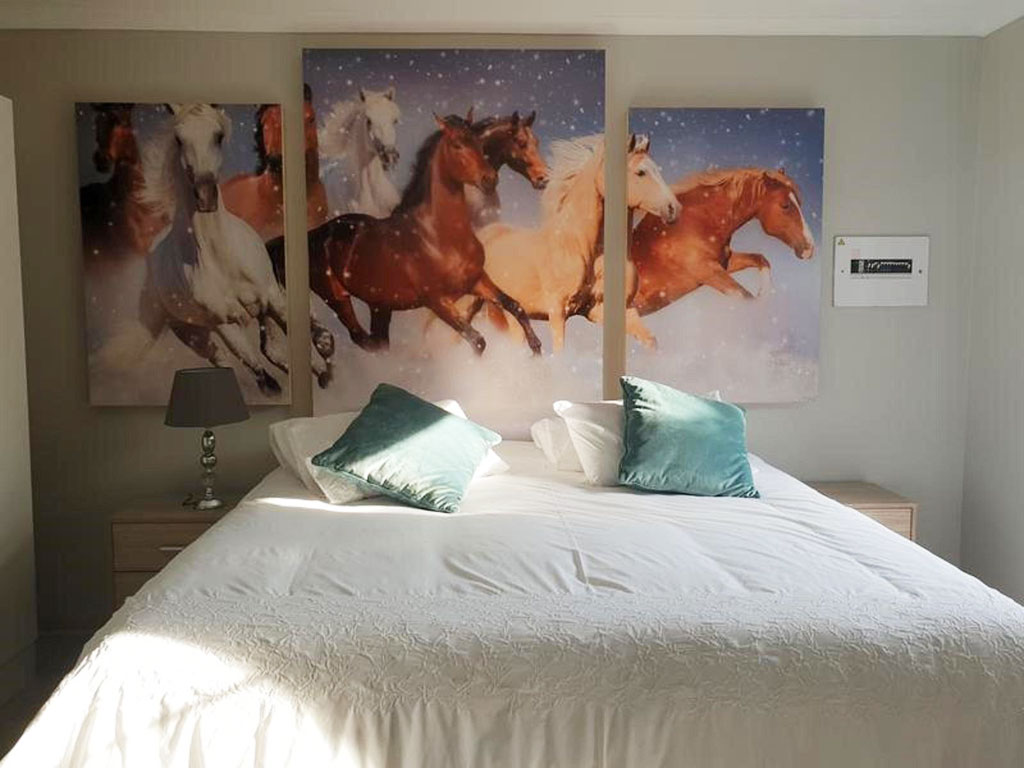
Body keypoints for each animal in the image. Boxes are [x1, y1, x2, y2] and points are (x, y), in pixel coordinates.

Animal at [97, 103, 330, 395]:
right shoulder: (224, 319)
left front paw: (326, 357)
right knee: (229, 358)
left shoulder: (270, 297)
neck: (222, 257)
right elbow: (254, 362)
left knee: (271, 349)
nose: (206, 195)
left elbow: (301, 339)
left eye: (218, 136)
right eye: (179, 139)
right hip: (194, 333)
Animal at [303, 110, 542, 356]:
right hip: (337, 298)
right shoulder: (437, 301)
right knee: (359, 338)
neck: (438, 237)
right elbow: (477, 340)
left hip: (380, 306)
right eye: (457, 145)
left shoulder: (478, 281)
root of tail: (316, 232)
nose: (489, 179)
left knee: (377, 342)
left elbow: (516, 307)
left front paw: (536, 352)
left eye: (478, 143)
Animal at [474, 133, 679, 352]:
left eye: (656, 169)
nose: (673, 208)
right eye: (640, 172)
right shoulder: (557, 311)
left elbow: (651, 341)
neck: (582, 248)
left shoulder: (607, 309)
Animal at [626, 167, 815, 344]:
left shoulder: (724, 263)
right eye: (785, 206)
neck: (695, 223)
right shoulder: (708, 272)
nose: (809, 249)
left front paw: (763, 296)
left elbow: (761, 260)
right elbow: (745, 296)